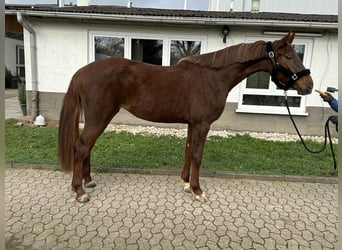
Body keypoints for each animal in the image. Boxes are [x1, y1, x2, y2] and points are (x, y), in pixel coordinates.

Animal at [58, 31, 312, 203]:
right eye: (289, 56)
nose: (308, 86)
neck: (213, 77)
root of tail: (83, 71)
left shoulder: (193, 124)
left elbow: (189, 151)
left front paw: (185, 183)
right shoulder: (202, 124)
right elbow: (197, 155)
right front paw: (198, 190)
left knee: (87, 146)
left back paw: (88, 181)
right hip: (99, 117)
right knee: (81, 146)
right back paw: (79, 191)